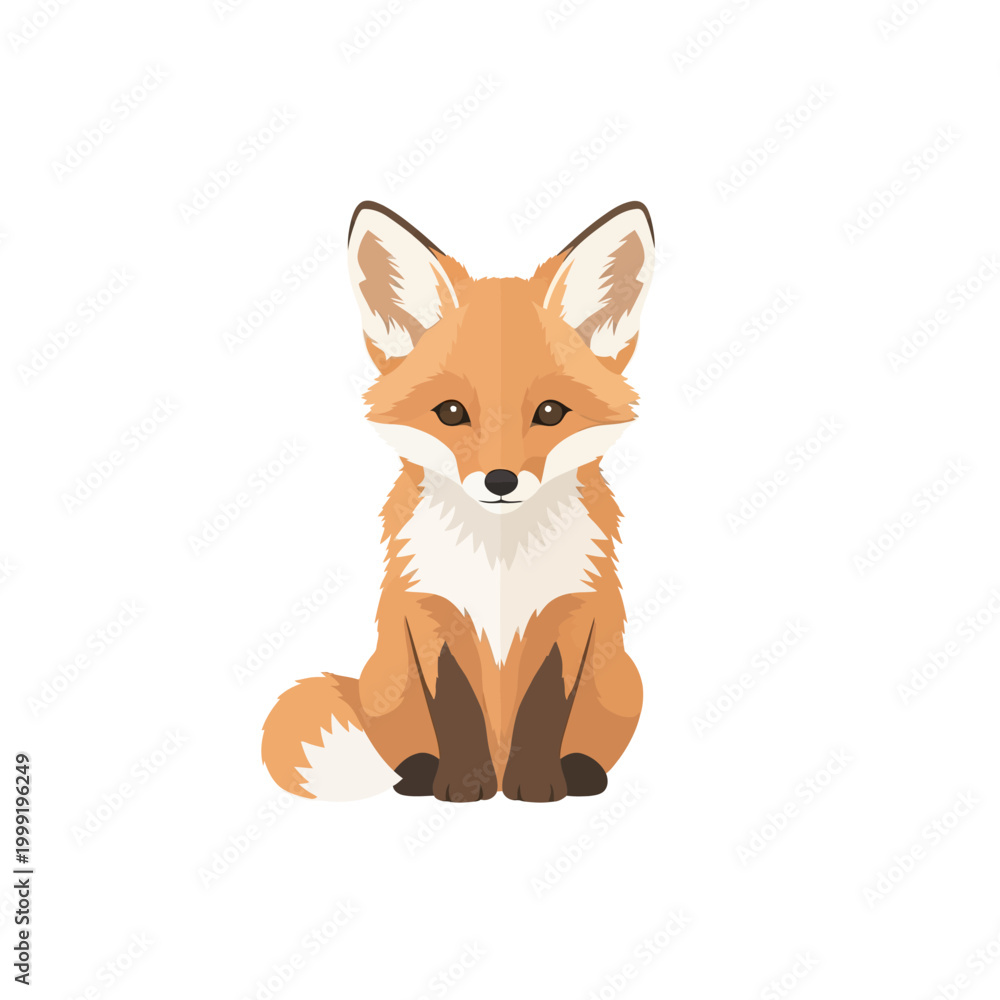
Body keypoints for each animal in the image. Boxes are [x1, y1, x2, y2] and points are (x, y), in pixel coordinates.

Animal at [261, 200, 655, 803]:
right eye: (450, 412)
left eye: (550, 412)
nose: (500, 481)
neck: (500, 562)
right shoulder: (429, 613)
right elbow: (454, 706)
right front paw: (465, 784)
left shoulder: (568, 615)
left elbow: (544, 707)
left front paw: (535, 784)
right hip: (386, 678)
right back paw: (416, 771)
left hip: (623, 681)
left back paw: (582, 770)